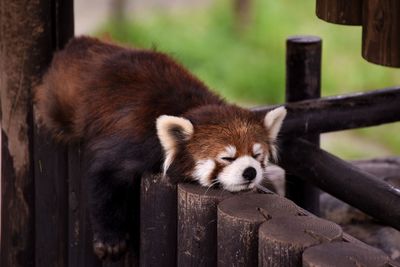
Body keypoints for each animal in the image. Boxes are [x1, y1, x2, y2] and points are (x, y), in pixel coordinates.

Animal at [33, 36, 284, 260]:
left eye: (257, 155)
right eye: (227, 158)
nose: (250, 172)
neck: (190, 108)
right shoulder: (133, 145)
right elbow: (103, 180)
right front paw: (110, 239)